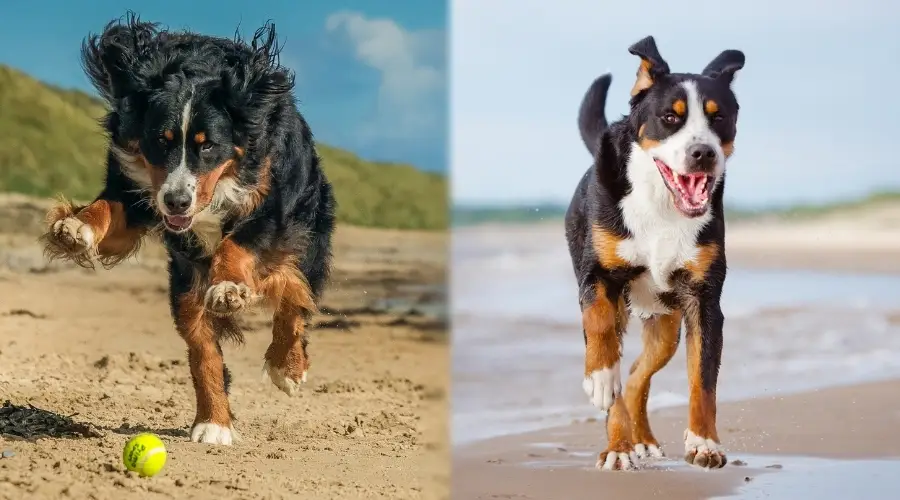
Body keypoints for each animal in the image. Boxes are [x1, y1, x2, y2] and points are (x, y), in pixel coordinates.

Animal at [38, 14, 334, 446]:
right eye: (159, 141)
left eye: (208, 145)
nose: (176, 202)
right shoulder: (137, 188)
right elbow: (110, 206)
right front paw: (77, 226)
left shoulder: (271, 208)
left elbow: (239, 247)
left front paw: (229, 287)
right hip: (184, 284)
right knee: (203, 350)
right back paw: (214, 423)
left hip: (306, 237)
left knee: (295, 298)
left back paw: (286, 367)